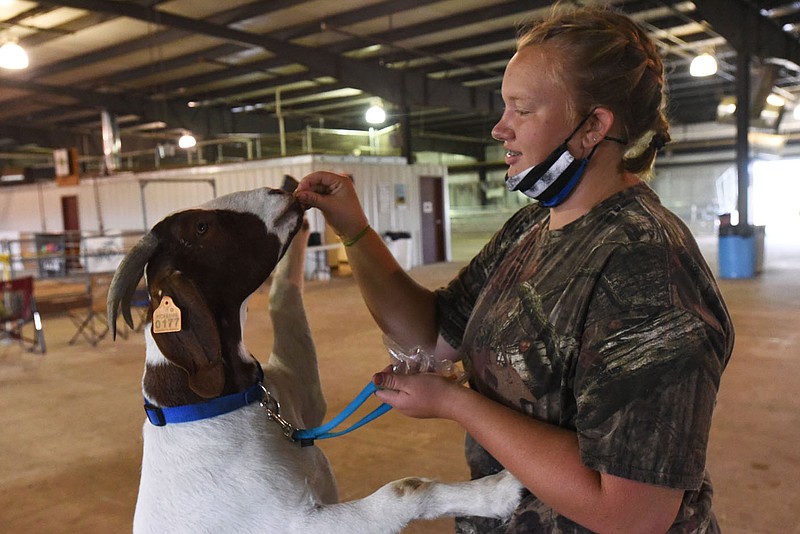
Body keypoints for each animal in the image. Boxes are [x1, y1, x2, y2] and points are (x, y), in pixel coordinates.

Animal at [108, 187, 524, 534]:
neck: (210, 405)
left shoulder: (296, 393)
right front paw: (502, 490)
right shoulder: (298, 525)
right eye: (201, 226)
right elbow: (404, 490)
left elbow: (283, 299)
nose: (278, 191)